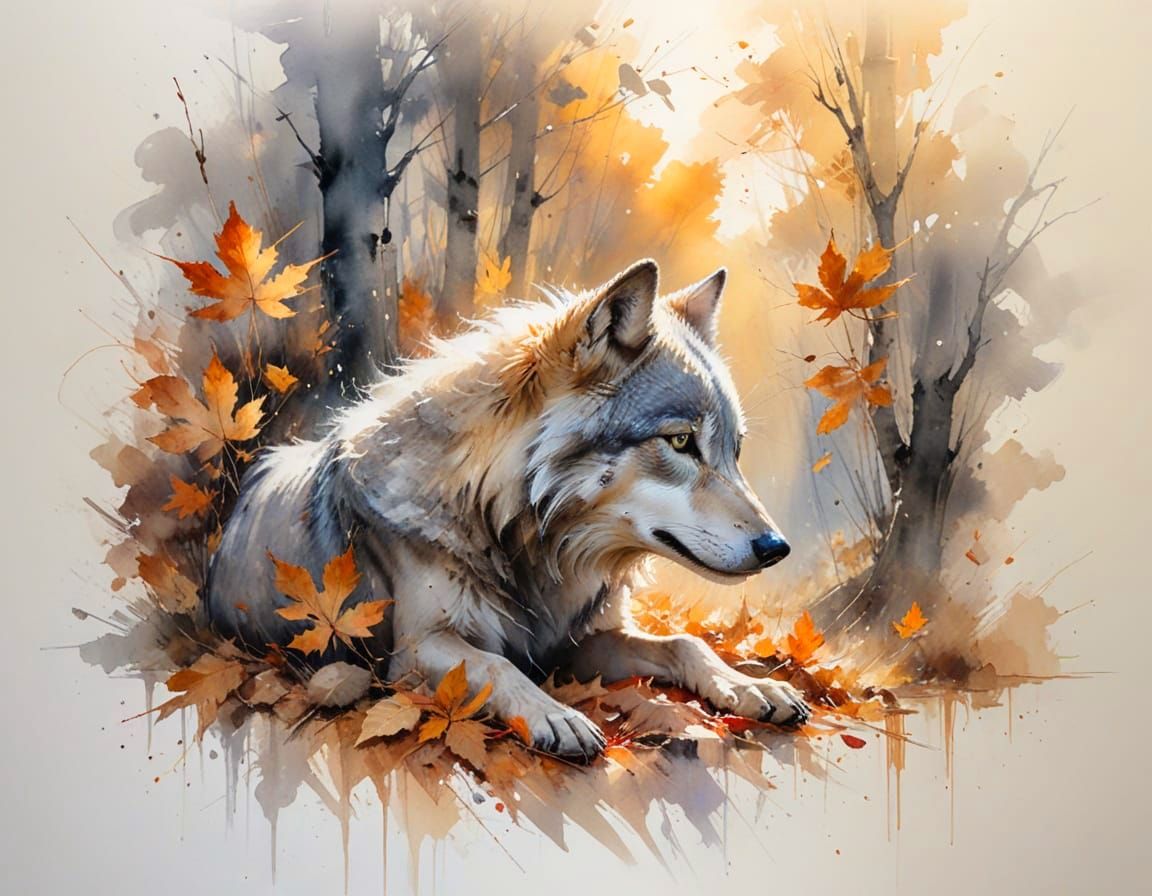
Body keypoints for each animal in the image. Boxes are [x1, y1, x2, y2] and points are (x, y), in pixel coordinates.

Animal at [207, 259, 810, 759]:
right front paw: (556, 717)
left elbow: (686, 643)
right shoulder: (417, 648)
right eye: (681, 442)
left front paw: (750, 686)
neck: (523, 534)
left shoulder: (575, 643)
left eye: (734, 450)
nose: (777, 548)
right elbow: (495, 663)